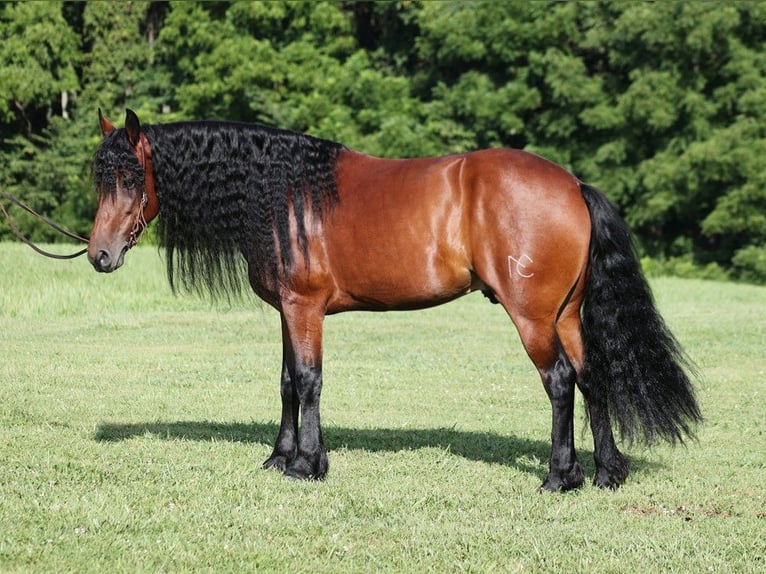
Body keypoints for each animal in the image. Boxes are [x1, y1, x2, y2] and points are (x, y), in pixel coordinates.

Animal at [90, 110, 704, 492]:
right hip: (568, 315)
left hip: (533, 317)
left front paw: (308, 465)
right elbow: (287, 381)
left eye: (131, 178)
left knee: (559, 381)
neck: (283, 196)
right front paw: (279, 457)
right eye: (99, 178)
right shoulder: (289, 311)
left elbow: (308, 381)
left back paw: (559, 477)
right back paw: (604, 473)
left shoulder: (304, 308)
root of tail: (572, 184)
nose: (98, 255)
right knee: (593, 377)